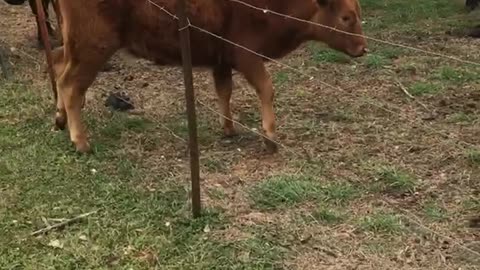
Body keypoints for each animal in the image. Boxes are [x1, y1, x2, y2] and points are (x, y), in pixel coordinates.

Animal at [51, 0, 368, 153]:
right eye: (346, 17)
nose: (363, 48)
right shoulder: (247, 56)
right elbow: (266, 88)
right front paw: (270, 137)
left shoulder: (222, 60)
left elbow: (224, 90)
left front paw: (228, 128)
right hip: (93, 46)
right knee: (71, 85)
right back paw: (81, 142)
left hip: (74, 44)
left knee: (57, 65)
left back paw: (60, 119)